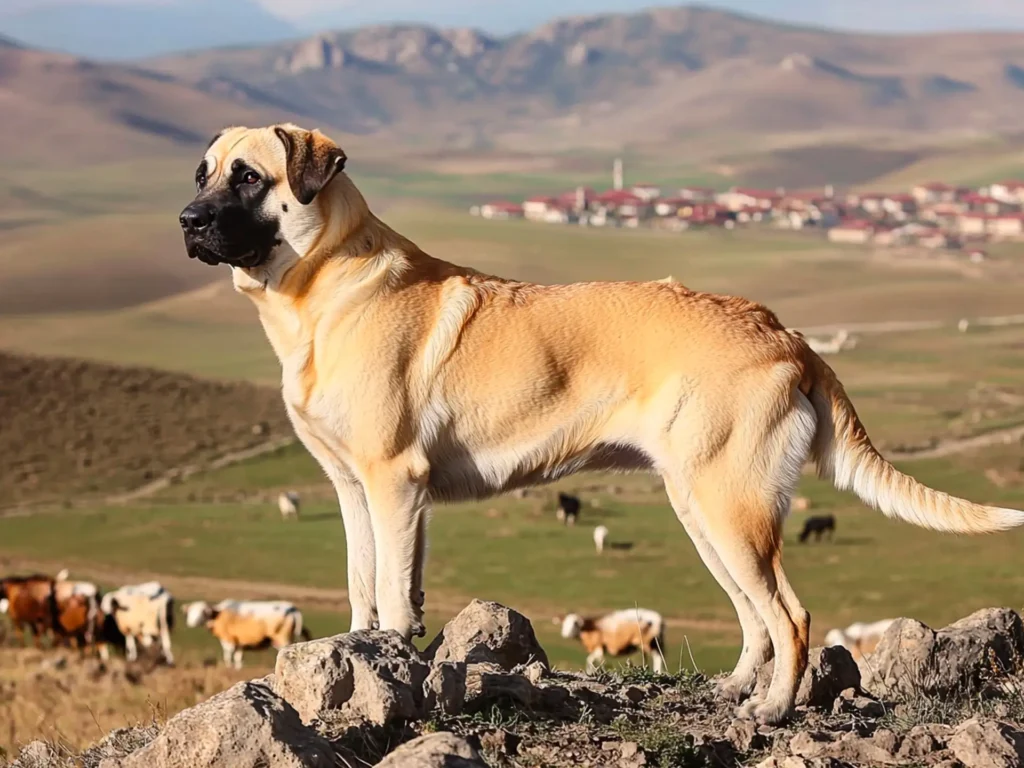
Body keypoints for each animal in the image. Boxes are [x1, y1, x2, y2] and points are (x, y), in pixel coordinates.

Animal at [178, 123, 1024, 724]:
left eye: (248, 176)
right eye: (202, 172)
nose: (186, 220)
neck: (320, 287)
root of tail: (784, 332)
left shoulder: (396, 484)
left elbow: (392, 589)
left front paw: (390, 659)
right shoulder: (354, 488)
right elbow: (362, 582)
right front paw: (360, 654)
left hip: (732, 509)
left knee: (790, 615)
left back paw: (776, 709)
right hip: (704, 508)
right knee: (755, 614)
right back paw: (737, 691)